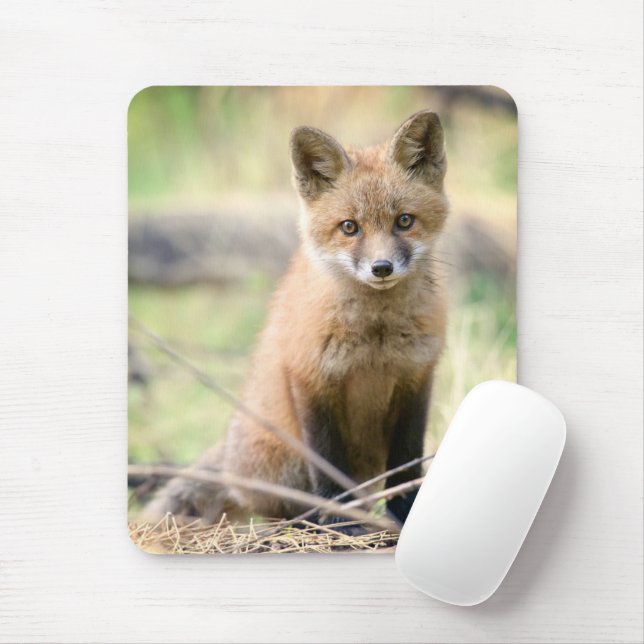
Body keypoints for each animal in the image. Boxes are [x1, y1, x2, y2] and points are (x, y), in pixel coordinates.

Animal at [142, 109, 449, 527]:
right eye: (349, 227)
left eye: (404, 221)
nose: (381, 268)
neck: (375, 339)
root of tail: (230, 459)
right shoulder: (310, 377)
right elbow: (327, 463)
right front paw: (339, 521)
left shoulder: (416, 379)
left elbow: (406, 464)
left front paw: (404, 515)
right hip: (282, 461)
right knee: (277, 506)